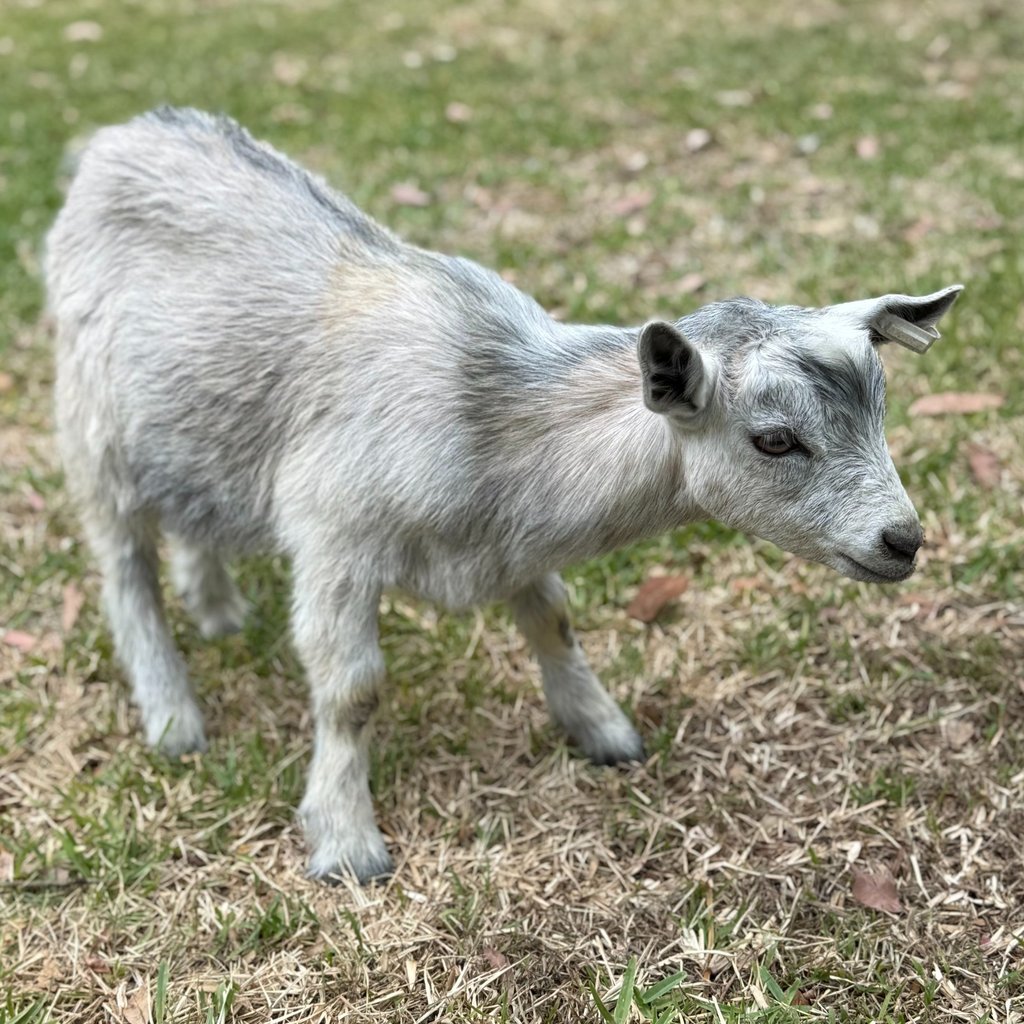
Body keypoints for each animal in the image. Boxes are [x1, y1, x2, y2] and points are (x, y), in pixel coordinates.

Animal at [46, 108, 962, 882]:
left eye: (880, 406)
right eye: (774, 439)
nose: (902, 540)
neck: (492, 416)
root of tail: (119, 137)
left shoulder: (513, 541)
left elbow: (553, 622)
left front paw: (604, 733)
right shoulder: (334, 535)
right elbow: (351, 690)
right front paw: (345, 841)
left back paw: (218, 610)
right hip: (93, 429)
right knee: (123, 565)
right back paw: (173, 716)